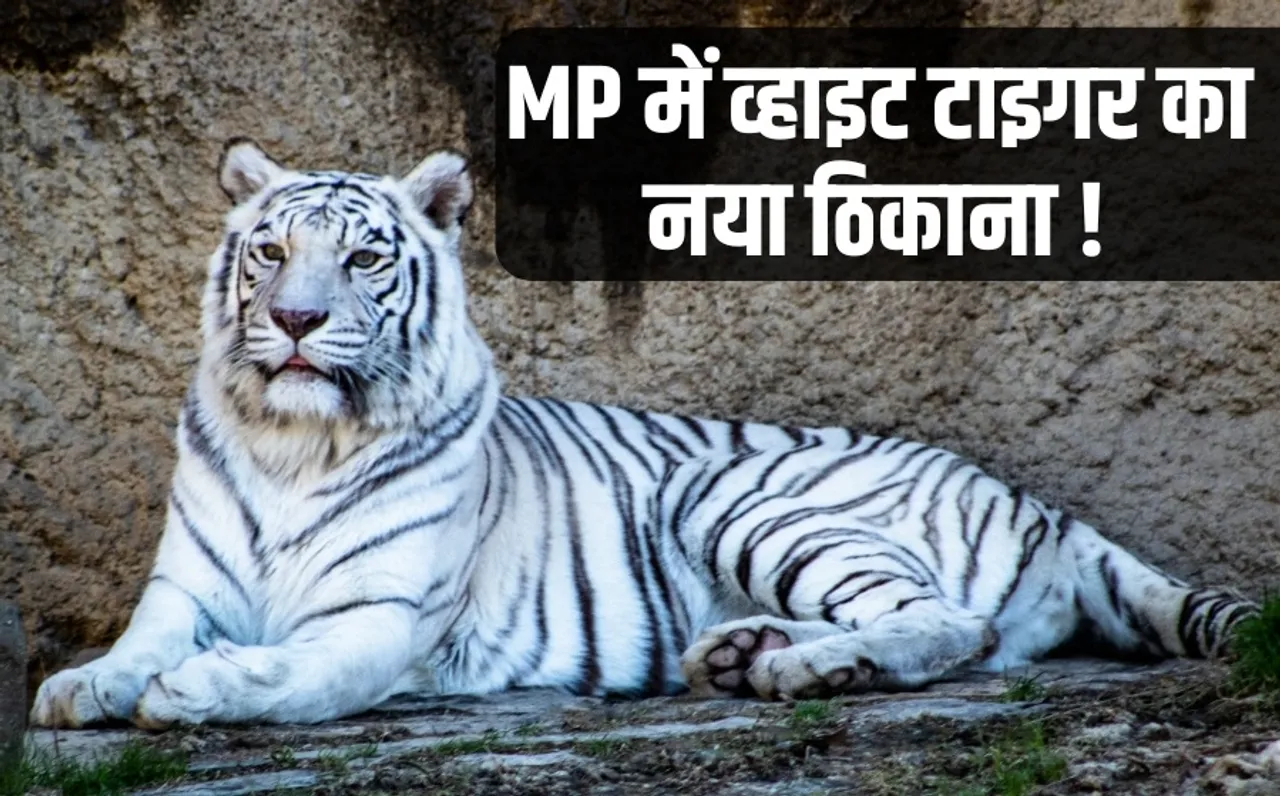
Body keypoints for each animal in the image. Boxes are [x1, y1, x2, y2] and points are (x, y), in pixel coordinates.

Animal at [30, 139, 1257, 728]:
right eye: (272, 251)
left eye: (366, 257)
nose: (293, 321)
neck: (294, 442)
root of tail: (1040, 505)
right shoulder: (183, 588)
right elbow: (137, 643)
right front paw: (82, 687)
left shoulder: (377, 615)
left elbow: (295, 676)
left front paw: (195, 692)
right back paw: (743, 653)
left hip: (730, 493)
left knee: (953, 623)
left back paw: (802, 667)